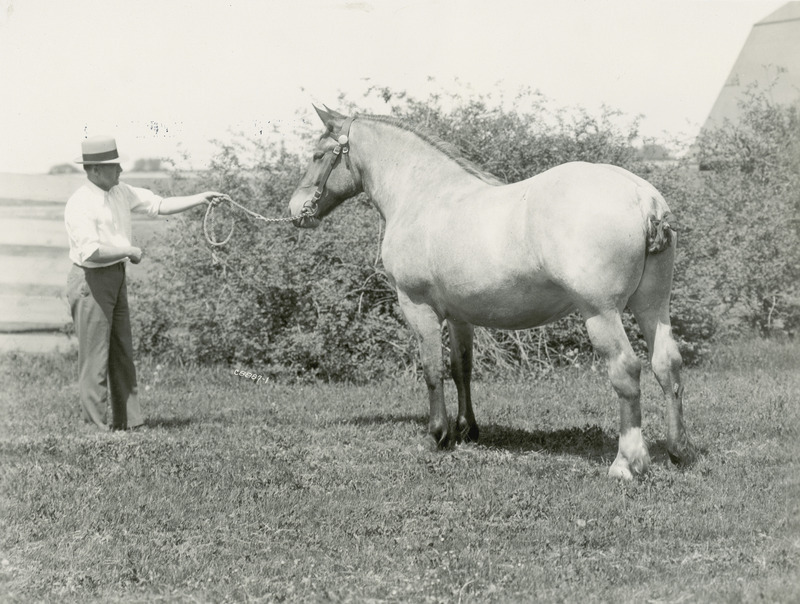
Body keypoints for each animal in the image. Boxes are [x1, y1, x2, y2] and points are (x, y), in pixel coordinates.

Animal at [288, 106, 692, 478]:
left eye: (318, 154)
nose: (296, 209)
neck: (424, 194)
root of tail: (642, 196)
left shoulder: (418, 306)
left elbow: (432, 369)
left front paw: (438, 434)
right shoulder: (460, 316)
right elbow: (460, 369)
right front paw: (466, 429)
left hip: (601, 313)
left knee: (626, 370)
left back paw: (627, 462)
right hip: (653, 306)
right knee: (667, 364)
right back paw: (677, 451)